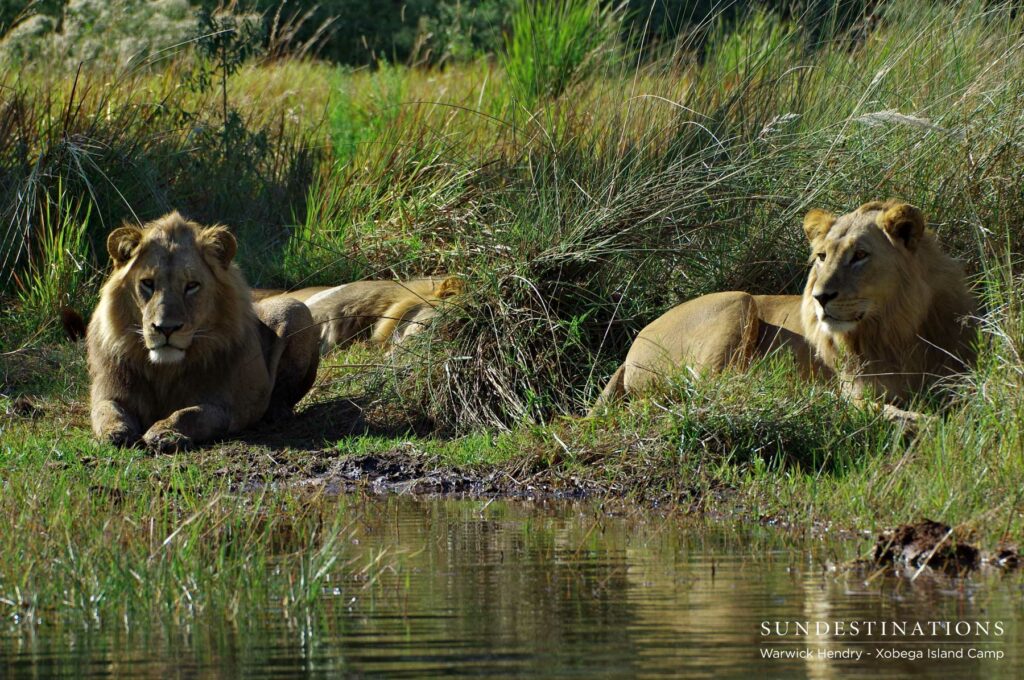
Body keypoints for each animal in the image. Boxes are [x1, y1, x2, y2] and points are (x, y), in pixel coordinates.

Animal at [87, 212, 321, 453]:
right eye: (148, 283)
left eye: (192, 286)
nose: (166, 328)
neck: (164, 371)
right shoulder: (108, 391)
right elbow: (106, 410)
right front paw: (115, 432)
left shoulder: (224, 406)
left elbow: (189, 414)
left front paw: (165, 433)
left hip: (296, 309)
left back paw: (276, 413)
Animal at [593, 201, 976, 417]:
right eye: (822, 256)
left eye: (860, 255)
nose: (821, 297)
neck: (895, 328)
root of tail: (633, 346)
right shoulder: (852, 395)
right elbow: (892, 413)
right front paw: (925, 424)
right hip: (739, 301)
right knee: (708, 393)